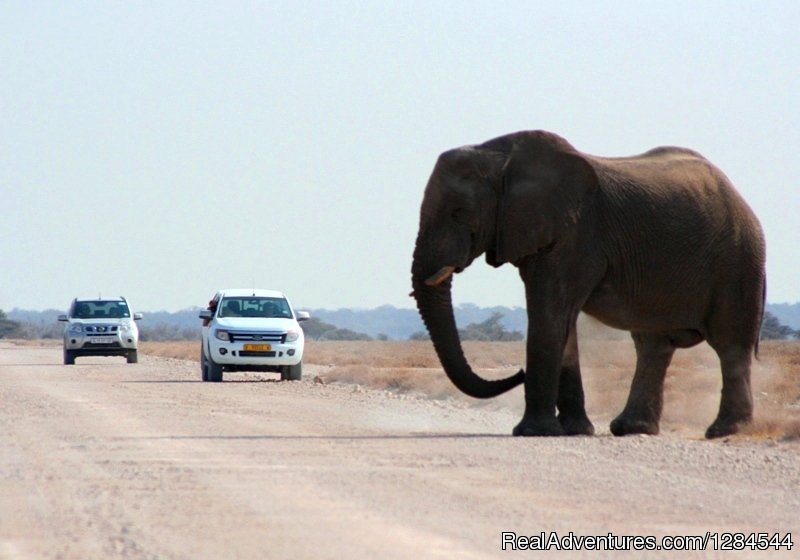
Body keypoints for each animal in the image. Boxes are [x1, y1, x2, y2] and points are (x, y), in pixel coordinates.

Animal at [410, 130, 764, 438]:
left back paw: (725, 432)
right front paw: (575, 430)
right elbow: (561, 322)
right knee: (653, 344)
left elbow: (550, 315)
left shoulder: (576, 235)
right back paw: (630, 428)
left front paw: (534, 433)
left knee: (730, 343)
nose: (518, 373)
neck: (500, 156)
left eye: (458, 212)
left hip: (738, 263)